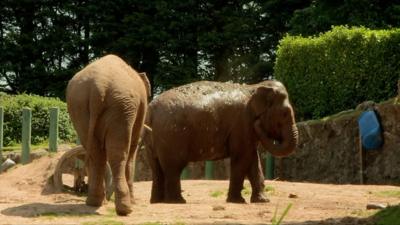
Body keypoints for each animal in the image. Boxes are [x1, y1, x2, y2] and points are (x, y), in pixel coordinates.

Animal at [66, 53, 151, 215]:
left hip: (78, 106)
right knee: (119, 153)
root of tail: (98, 86)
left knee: (95, 153)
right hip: (121, 107)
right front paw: (134, 202)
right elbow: (132, 149)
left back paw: (93, 202)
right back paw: (125, 209)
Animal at [144, 79, 296, 204]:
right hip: (172, 137)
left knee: (156, 168)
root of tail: (151, 110)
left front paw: (262, 201)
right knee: (173, 167)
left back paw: (157, 201)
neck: (254, 87)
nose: (258, 122)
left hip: (153, 138)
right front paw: (238, 201)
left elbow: (253, 161)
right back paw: (177, 201)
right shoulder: (242, 124)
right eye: (285, 114)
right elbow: (242, 158)